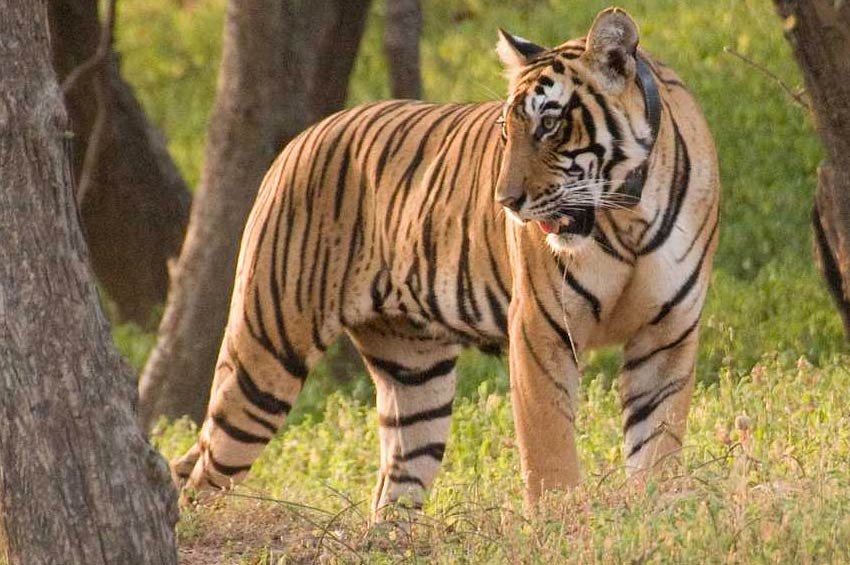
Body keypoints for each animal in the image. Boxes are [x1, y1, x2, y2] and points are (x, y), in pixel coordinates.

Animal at [171, 8, 716, 516]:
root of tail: (301, 138)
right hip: (266, 347)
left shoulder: (667, 331)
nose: (506, 201)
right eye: (506, 131)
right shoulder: (540, 328)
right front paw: (561, 522)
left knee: (395, 481)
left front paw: (660, 514)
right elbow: (550, 449)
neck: (627, 212)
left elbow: (657, 442)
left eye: (550, 124)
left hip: (413, 373)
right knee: (203, 476)